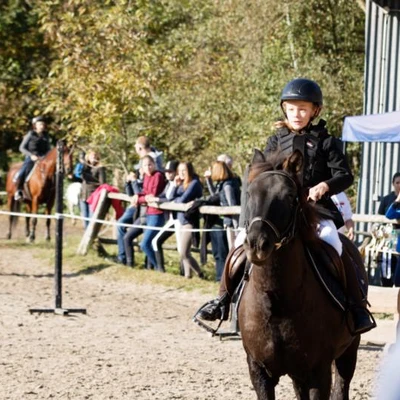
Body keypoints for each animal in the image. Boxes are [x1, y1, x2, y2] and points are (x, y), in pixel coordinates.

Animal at [239, 150, 368, 400]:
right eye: (249, 193)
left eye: (290, 197)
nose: (257, 245)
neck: (277, 300)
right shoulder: (259, 371)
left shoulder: (319, 372)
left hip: (349, 351)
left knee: (342, 386)